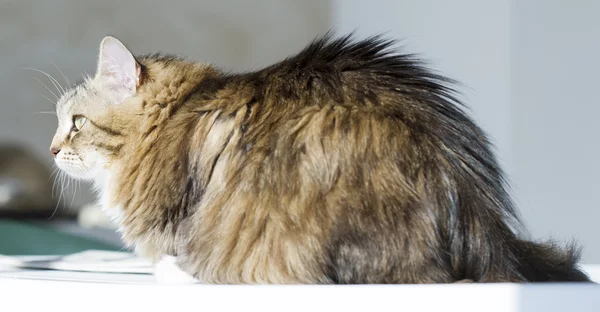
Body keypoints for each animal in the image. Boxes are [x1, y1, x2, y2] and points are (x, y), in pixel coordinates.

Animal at [48, 33, 592, 284]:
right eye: (61, 122)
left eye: (75, 122)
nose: (52, 149)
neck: (183, 110)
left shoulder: (181, 222)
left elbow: (177, 256)